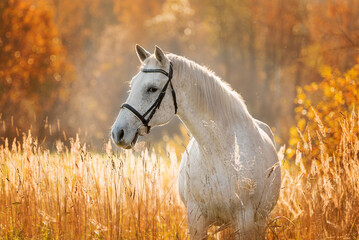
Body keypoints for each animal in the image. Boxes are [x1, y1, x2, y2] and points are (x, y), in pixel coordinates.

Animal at [112, 45, 282, 240]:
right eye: (132, 85)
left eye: (152, 89)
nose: (118, 133)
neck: (220, 153)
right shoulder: (196, 219)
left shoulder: (245, 220)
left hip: (259, 220)